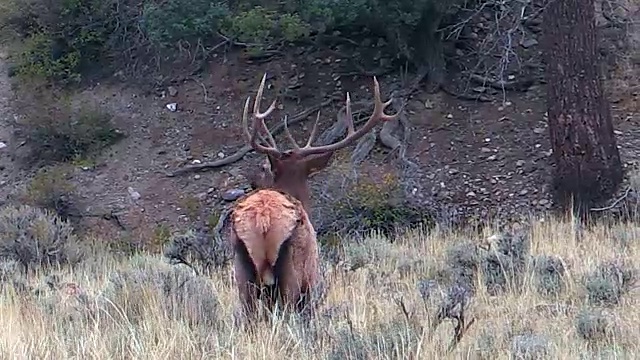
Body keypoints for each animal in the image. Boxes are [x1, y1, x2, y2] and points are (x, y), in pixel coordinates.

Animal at [230, 72, 400, 320]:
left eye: (265, 169)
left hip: (242, 271)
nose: (252, 180)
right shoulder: (311, 280)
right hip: (293, 271)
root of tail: (263, 220)